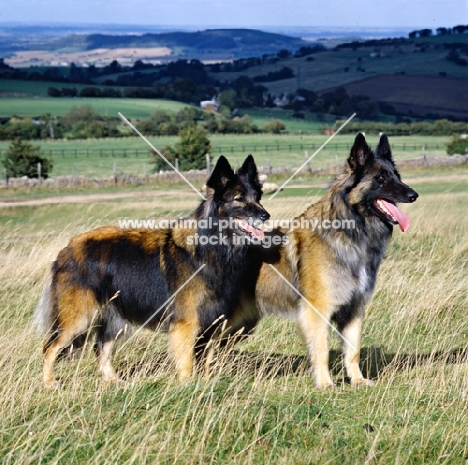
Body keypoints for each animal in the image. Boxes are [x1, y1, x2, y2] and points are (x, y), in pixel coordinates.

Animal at [34, 154, 268, 386]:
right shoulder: (186, 324)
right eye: (239, 199)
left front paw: (207, 382)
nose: (266, 215)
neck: (213, 245)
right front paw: (187, 387)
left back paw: (115, 382)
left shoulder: (213, 324)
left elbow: (207, 361)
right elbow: (186, 364)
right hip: (78, 318)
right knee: (49, 348)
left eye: (257, 197)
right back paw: (49, 383)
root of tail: (67, 248)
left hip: (115, 320)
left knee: (101, 349)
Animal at [254, 131, 418, 388]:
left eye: (396, 176)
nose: (414, 195)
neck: (351, 232)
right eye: (381, 178)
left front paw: (358, 380)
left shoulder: (355, 309)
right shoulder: (317, 311)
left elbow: (353, 351)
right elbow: (321, 350)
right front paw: (325, 384)